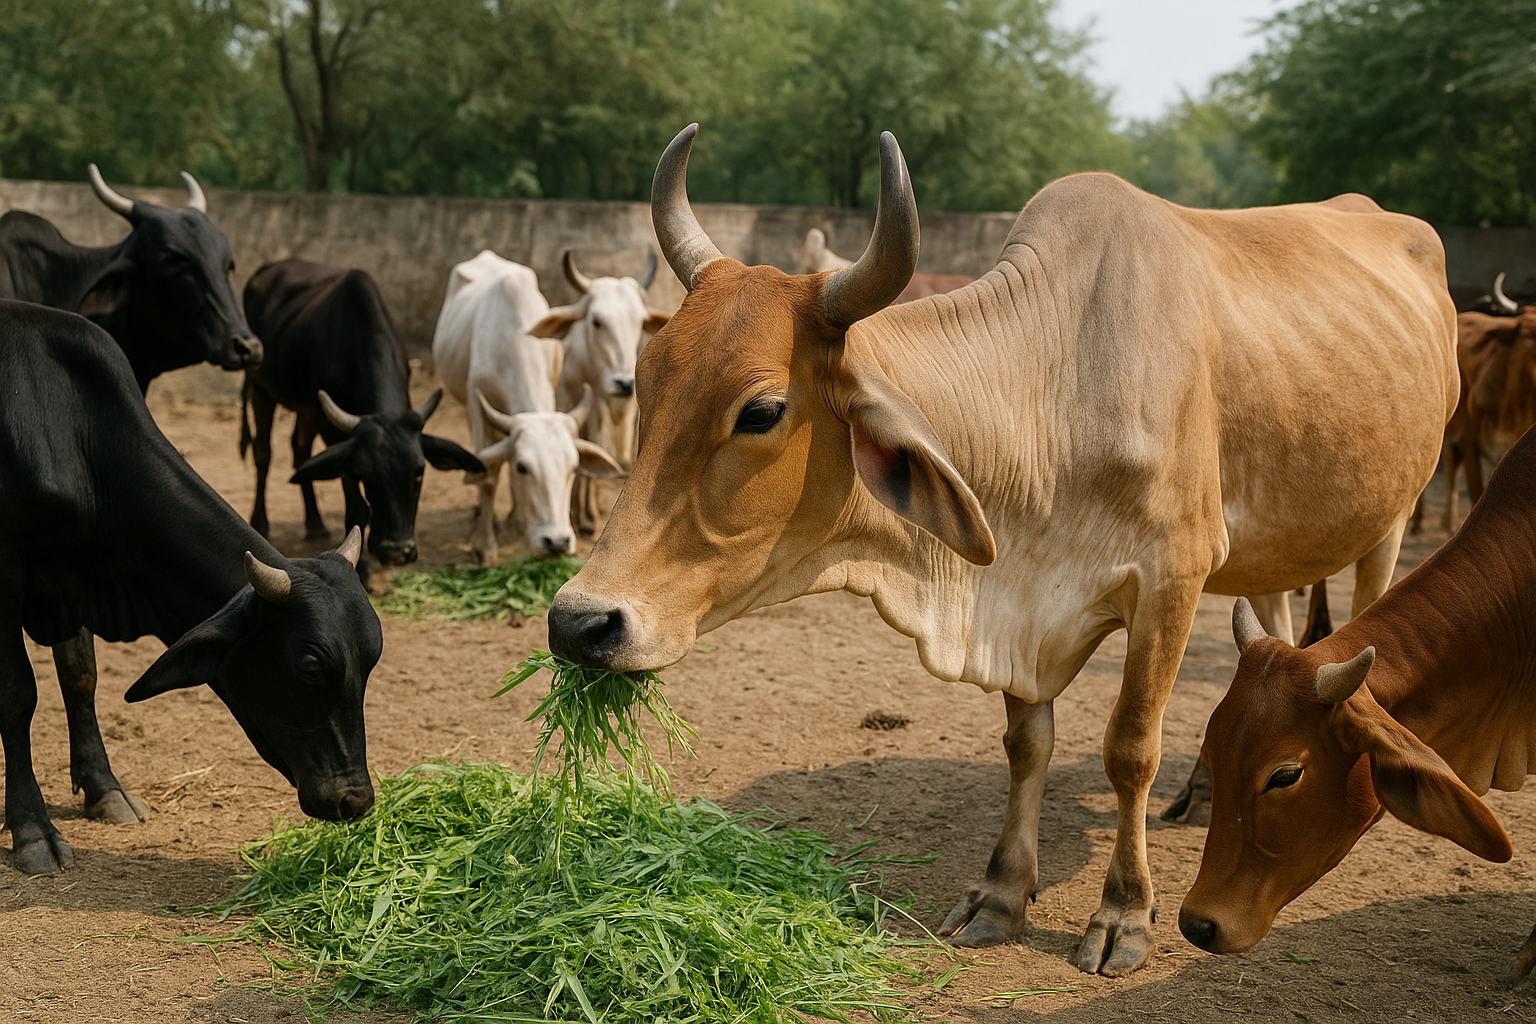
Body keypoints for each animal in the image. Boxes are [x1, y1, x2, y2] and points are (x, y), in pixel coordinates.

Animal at [0, 299, 378, 875]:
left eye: (372, 656)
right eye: (310, 664)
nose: (354, 800)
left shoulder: (71, 582)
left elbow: (81, 676)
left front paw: (105, 789)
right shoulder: (6, 569)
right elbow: (19, 694)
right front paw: (31, 828)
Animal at [241, 259, 483, 583]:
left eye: (419, 473)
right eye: (367, 475)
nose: (397, 551)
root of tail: (269, 267)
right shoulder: (335, 435)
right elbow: (357, 508)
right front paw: (364, 569)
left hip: (305, 409)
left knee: (299, 451)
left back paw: (315, 523)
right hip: (261, 388)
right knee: (263, 454)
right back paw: (260, 522)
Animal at [432, 250, 623, 565]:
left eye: (573, 467)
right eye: (522, 467)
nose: (556, 542)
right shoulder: (477, 404)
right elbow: (489, 477)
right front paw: (485, 547)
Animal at [539, 249, 671, 533]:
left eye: (639, 323)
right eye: (597, 321)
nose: (624, 383)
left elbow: (595, 447)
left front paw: (587, 513)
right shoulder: (567, 401)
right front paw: (576, 512)